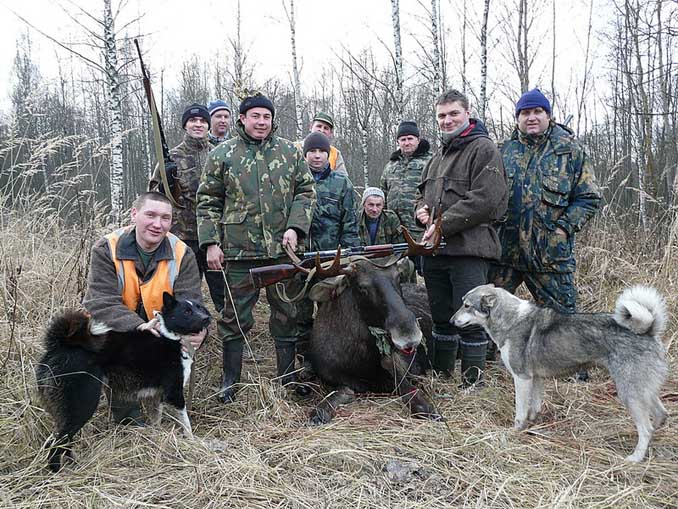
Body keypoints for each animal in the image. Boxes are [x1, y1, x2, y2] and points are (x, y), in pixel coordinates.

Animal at [34, 294, 209, 472]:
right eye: (186, 311)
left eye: (200, 308)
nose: (206, 318)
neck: (170, 336)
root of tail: (59, 346)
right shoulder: (174, 394)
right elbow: (186, 422)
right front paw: (192, 441)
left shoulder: (158, 396)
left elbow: (156, 419)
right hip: (83, 405)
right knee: (57, 443)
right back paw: (58, 471)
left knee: (63, 440)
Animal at [454, 284, 672, 462]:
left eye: (466, 305)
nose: (450, 320)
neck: (511, 319)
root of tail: (649, 330)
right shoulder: (535, 379)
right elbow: (534, 407)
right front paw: (532, 425)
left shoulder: (522, 378)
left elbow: (520, 412)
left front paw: (515, 431)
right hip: (642, 391)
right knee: (661, 414)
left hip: (629, 393)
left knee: (646, 429)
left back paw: (636, 457)